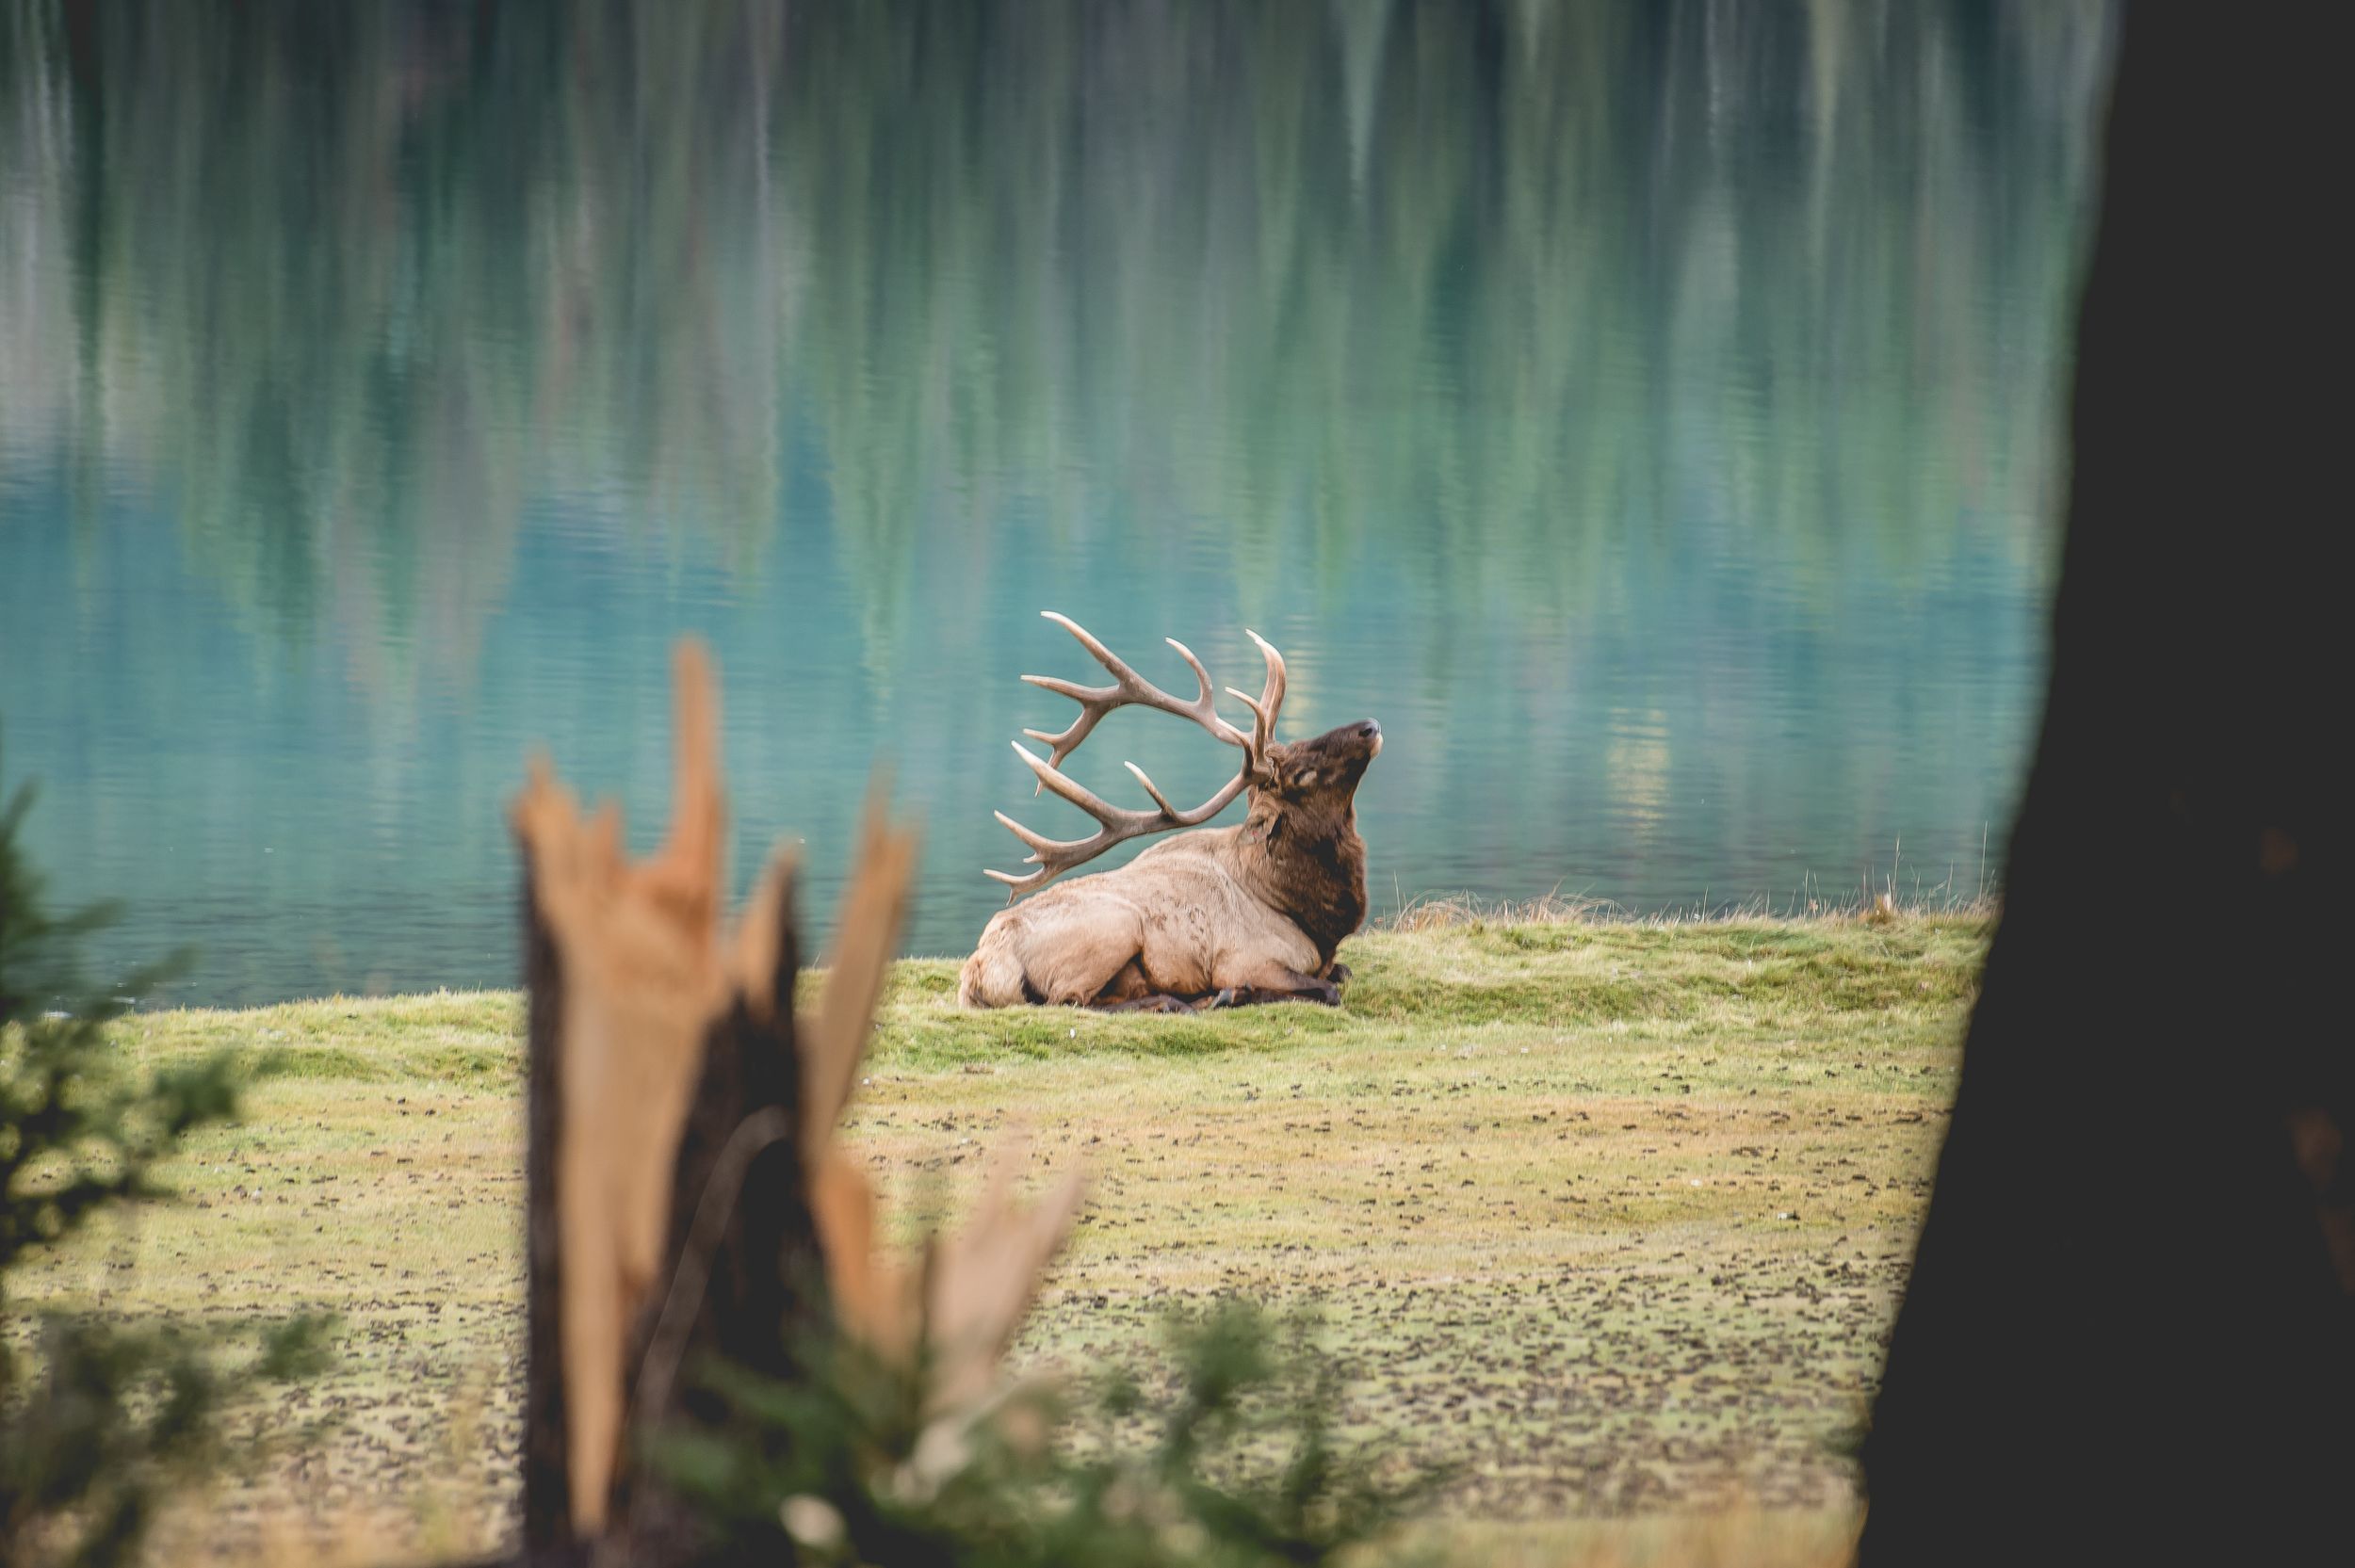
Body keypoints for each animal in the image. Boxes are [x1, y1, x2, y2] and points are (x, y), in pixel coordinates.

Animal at [957, 612, 1382, 1012]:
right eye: (1300, 773)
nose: (1370, 726)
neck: (1308, 917)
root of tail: (978, 971)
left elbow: (1342, 973)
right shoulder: (1246, 958)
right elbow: (1327, 989)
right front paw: (1233, 992)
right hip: (1118, 925)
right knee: (1070, 999)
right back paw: (1184, 1001)